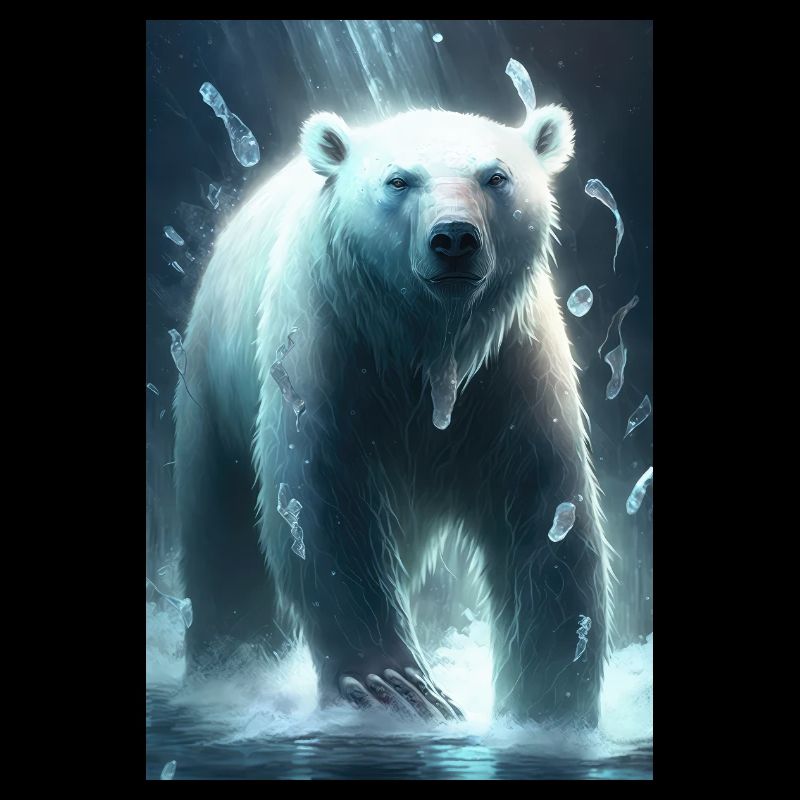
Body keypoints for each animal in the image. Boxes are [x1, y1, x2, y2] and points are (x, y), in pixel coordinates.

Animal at [173, 104, 611, 726]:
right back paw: (229, 667)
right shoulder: (325, 345)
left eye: (495, 176)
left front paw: (551, 706)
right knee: (222, 532)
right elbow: (321, 504)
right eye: (399, 180)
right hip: (212, 385)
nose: (454, 238)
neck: (426, 343)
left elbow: (547, 513)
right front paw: (399, 687)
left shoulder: (511, 368)